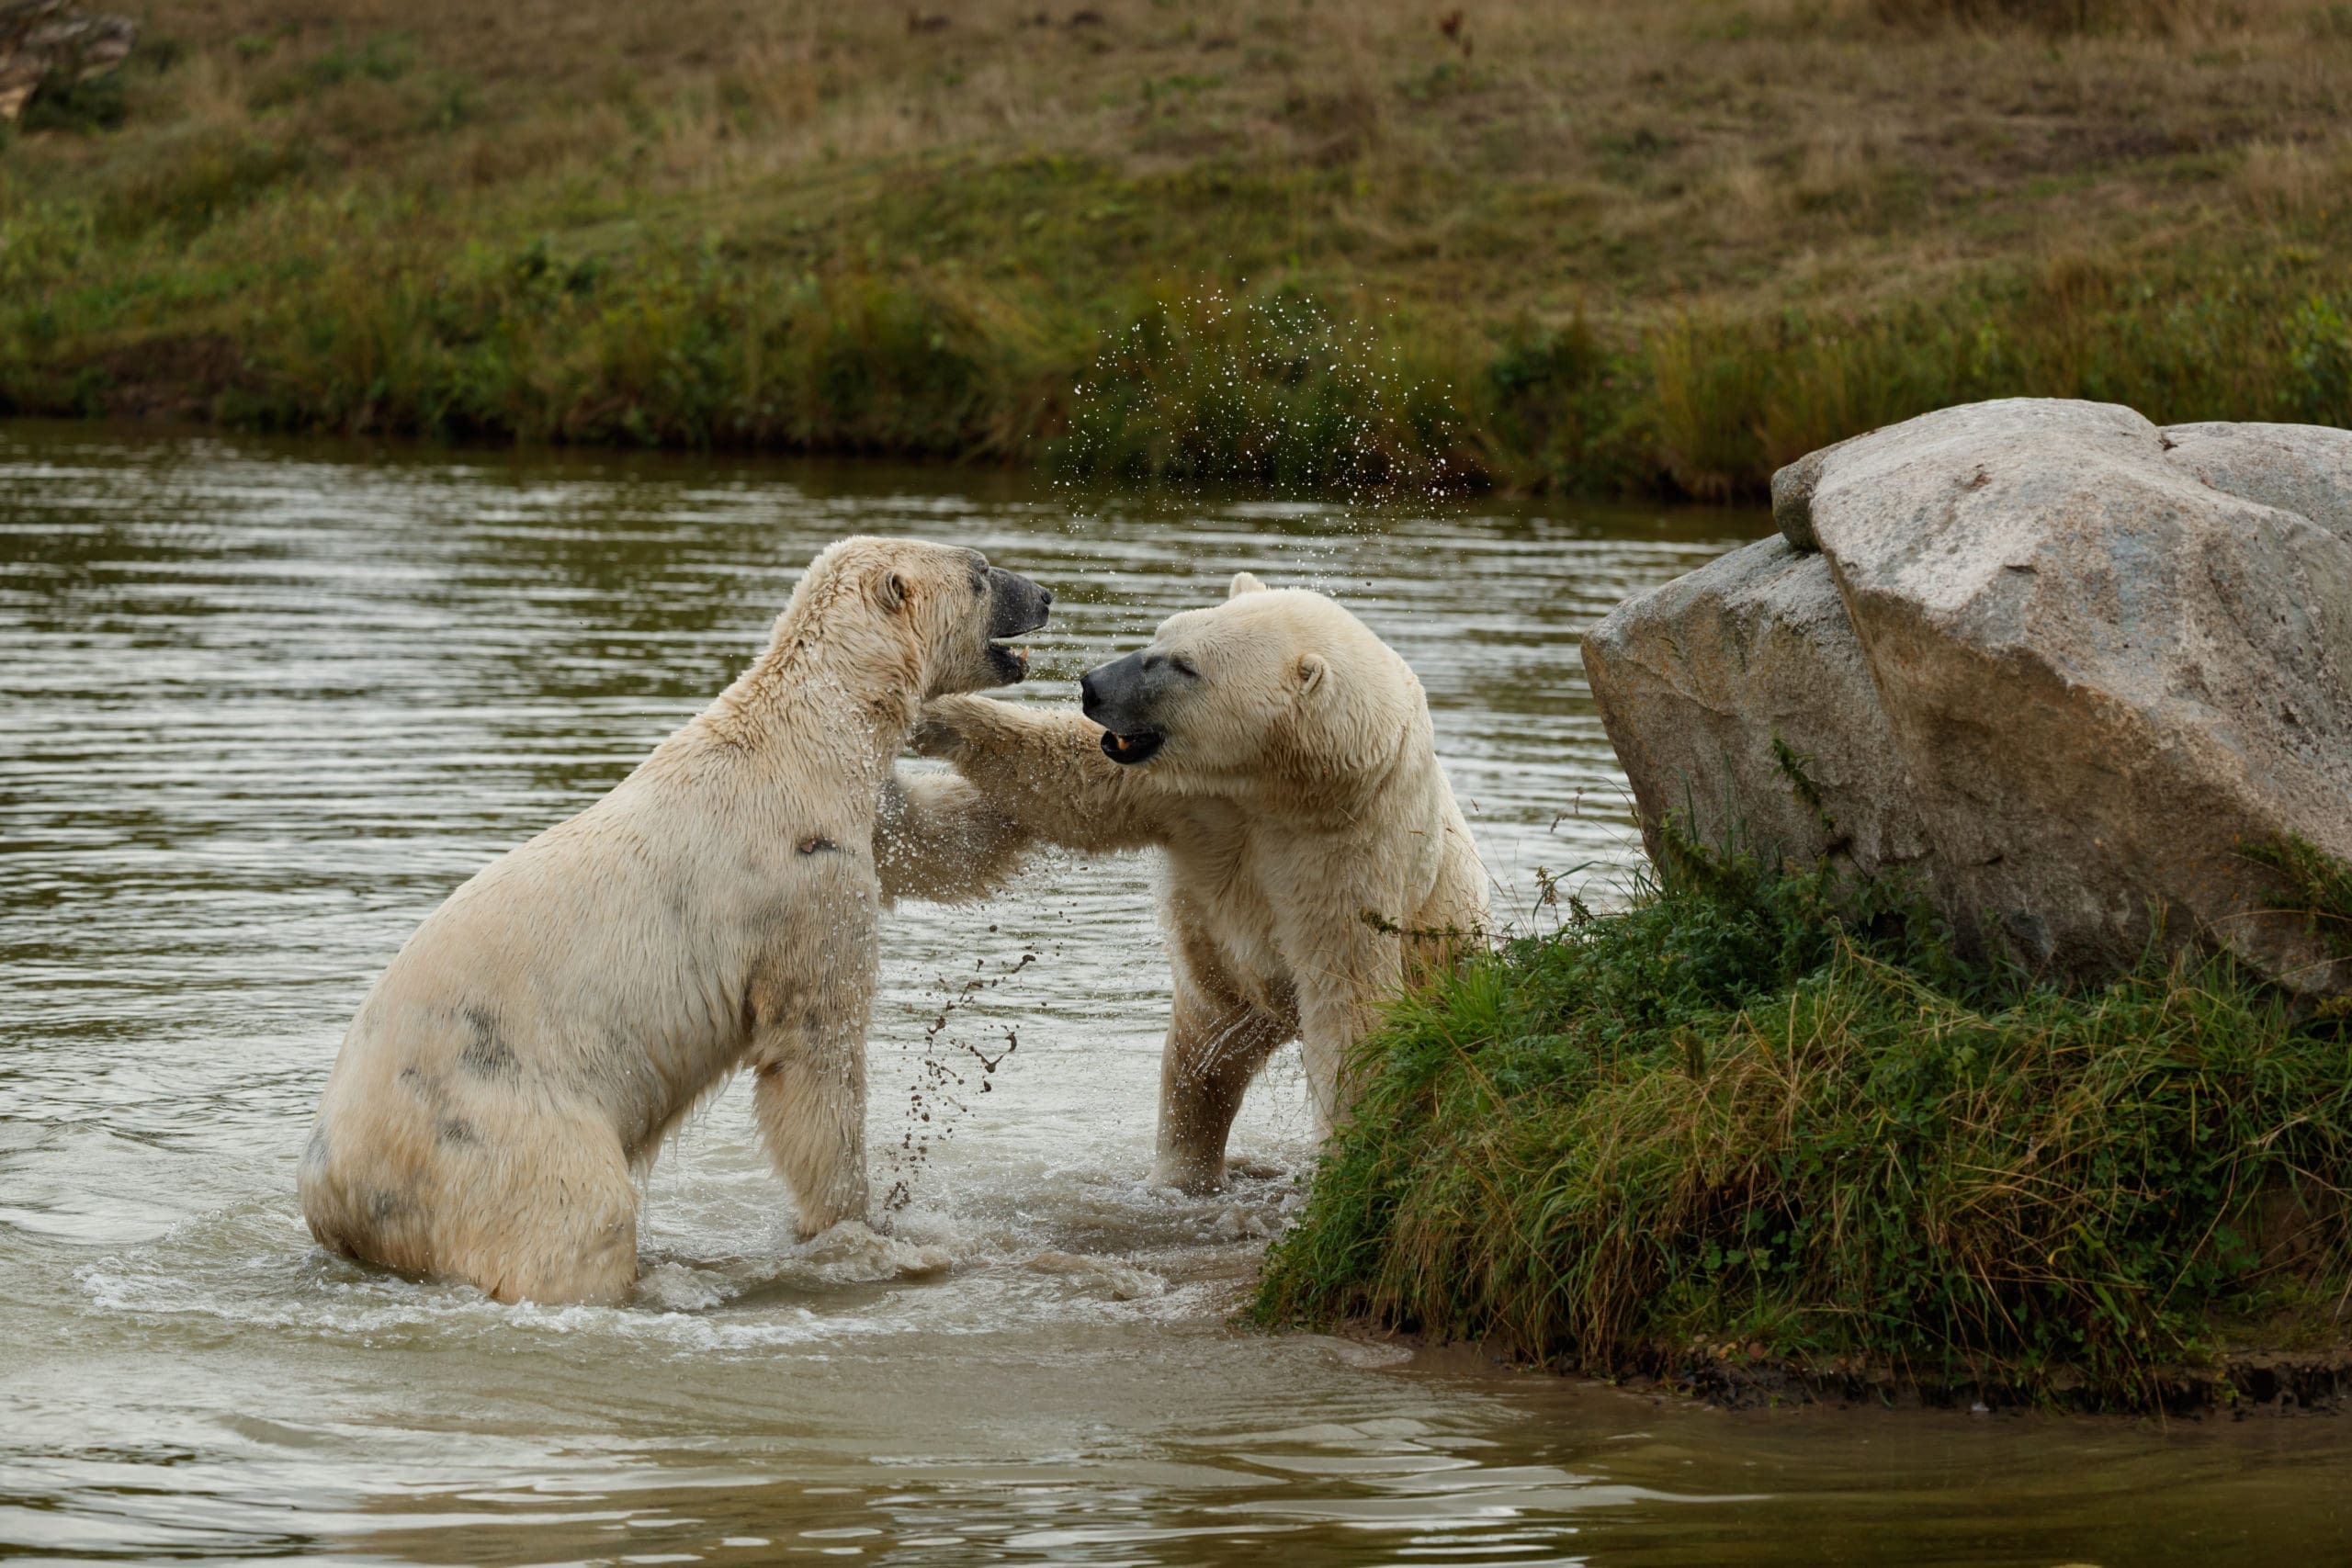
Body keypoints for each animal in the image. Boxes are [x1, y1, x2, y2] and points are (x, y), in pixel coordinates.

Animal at [300, 533, 1048, 1306]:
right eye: (981, 571)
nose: (1046, 594)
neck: (806, 739)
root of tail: (330, 1188)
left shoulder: (860, 819)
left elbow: (935, 837)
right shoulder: (801, 883)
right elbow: (815, 1050)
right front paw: (857, 1228)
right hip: (485, 1118)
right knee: (578, 1217)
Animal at [917, 570, 1486, 1194]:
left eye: (1184, 666)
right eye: (1161, 635)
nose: (1091, 687)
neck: (1285, 782)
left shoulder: (1351, 848)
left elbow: (1351, 1004)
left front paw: (1346, 1161)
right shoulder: (1191, 793)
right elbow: (1072, 779)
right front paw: (938, 715)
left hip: (1441, 964)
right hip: (1224, 993)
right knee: (1199, 1070)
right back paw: (1181, 1174)